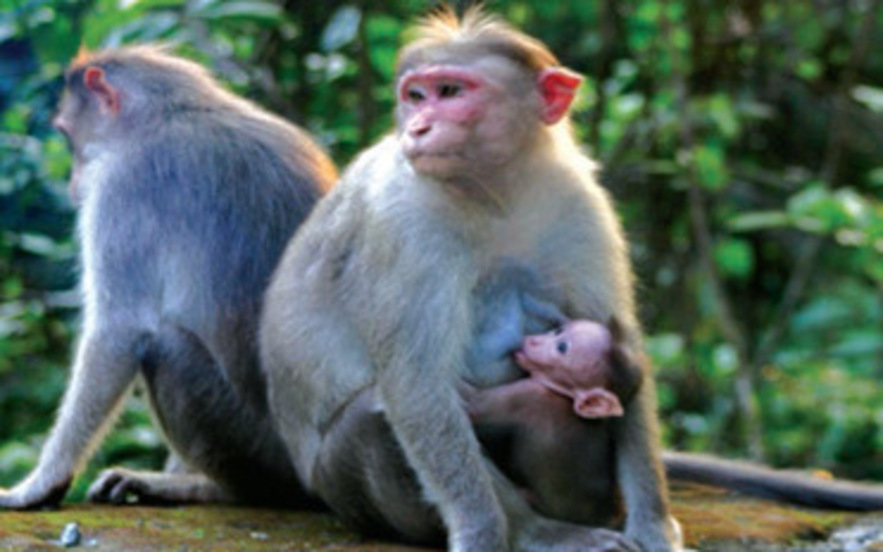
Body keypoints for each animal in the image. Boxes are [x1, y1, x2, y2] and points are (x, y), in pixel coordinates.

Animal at [0, 45, 337, 510]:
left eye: (68, 136)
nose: (72, 184)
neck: (172, 112)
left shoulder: (123, 188)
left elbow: (118, 332)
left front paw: (41, 483)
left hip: (257, 449)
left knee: (164, 345)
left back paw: (212, 488)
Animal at [261, 7, 675, 551]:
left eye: (451, 91)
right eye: (416, 96)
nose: (418, 127)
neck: (496, 193)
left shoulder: (579, 202)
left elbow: (620, 347)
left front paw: (654, 525)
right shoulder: (404, 225)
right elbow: (418, 387)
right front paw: (487, 531)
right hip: (344, 485)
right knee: (377, 413)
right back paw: (539, 531)